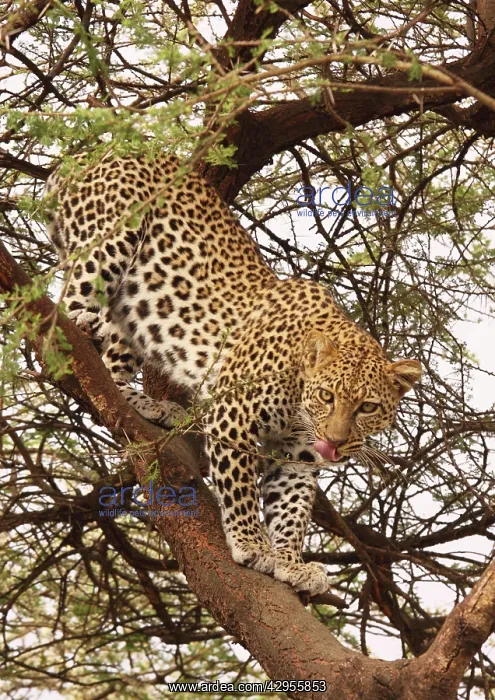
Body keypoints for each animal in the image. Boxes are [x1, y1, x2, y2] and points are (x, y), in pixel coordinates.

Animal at [45, 152, 421, 596]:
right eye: (327, 397)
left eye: (367, 407)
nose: (334, 442)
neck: (299, 398)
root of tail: (90, 155)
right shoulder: (233, 416)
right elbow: (240, 488)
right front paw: (252, 544)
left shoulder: (296, 456)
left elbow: (292, 510)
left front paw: (292, 562)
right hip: (108, 245)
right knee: (60, 314)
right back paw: (81, 328)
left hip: (135, 309)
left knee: (110, 372)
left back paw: (150, 405)